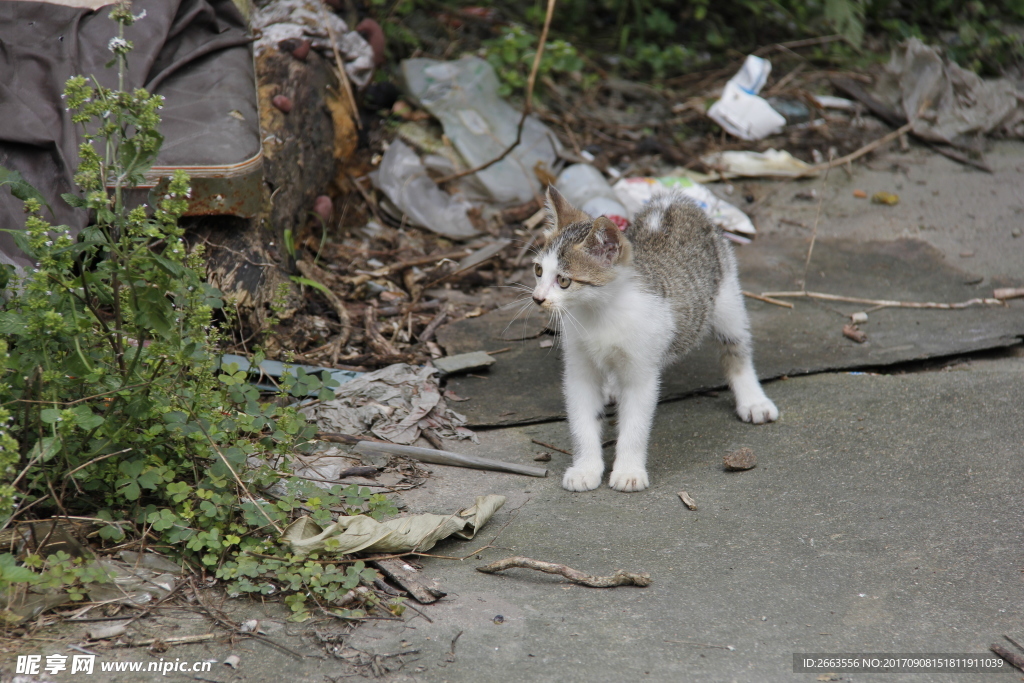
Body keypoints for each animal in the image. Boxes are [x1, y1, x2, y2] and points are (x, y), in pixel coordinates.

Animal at [536, 187, 774, 493]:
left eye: (564, 281)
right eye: (538, 271)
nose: (537, 298)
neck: (599, 313)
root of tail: (672, 198)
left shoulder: (641, 372)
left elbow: (635, 426)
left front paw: (628, 471)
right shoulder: (579, 368)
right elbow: (582, 419)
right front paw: (585, 468)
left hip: (726, 298)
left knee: (736, 347)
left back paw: (753, 400)